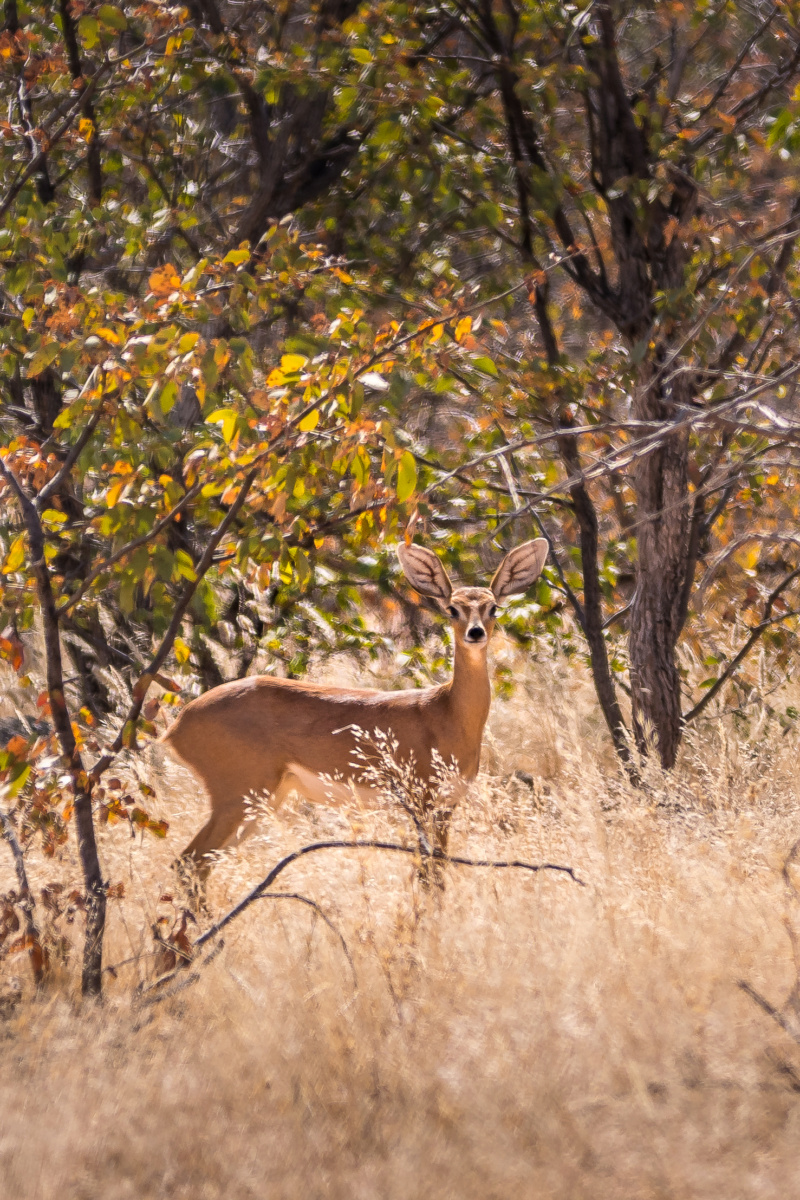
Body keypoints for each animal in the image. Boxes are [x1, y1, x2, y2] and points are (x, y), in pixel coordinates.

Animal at [163, 540, 551, 878]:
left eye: (493, 607)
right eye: (452, 608)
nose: (475, 633)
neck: (447, 713)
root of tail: (177, 726)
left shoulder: (446, 806)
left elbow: (437, 872)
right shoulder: (422, 802)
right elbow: (426, 875)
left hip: (263, 803)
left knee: (201, 865)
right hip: (239, 798)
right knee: (187, 862)